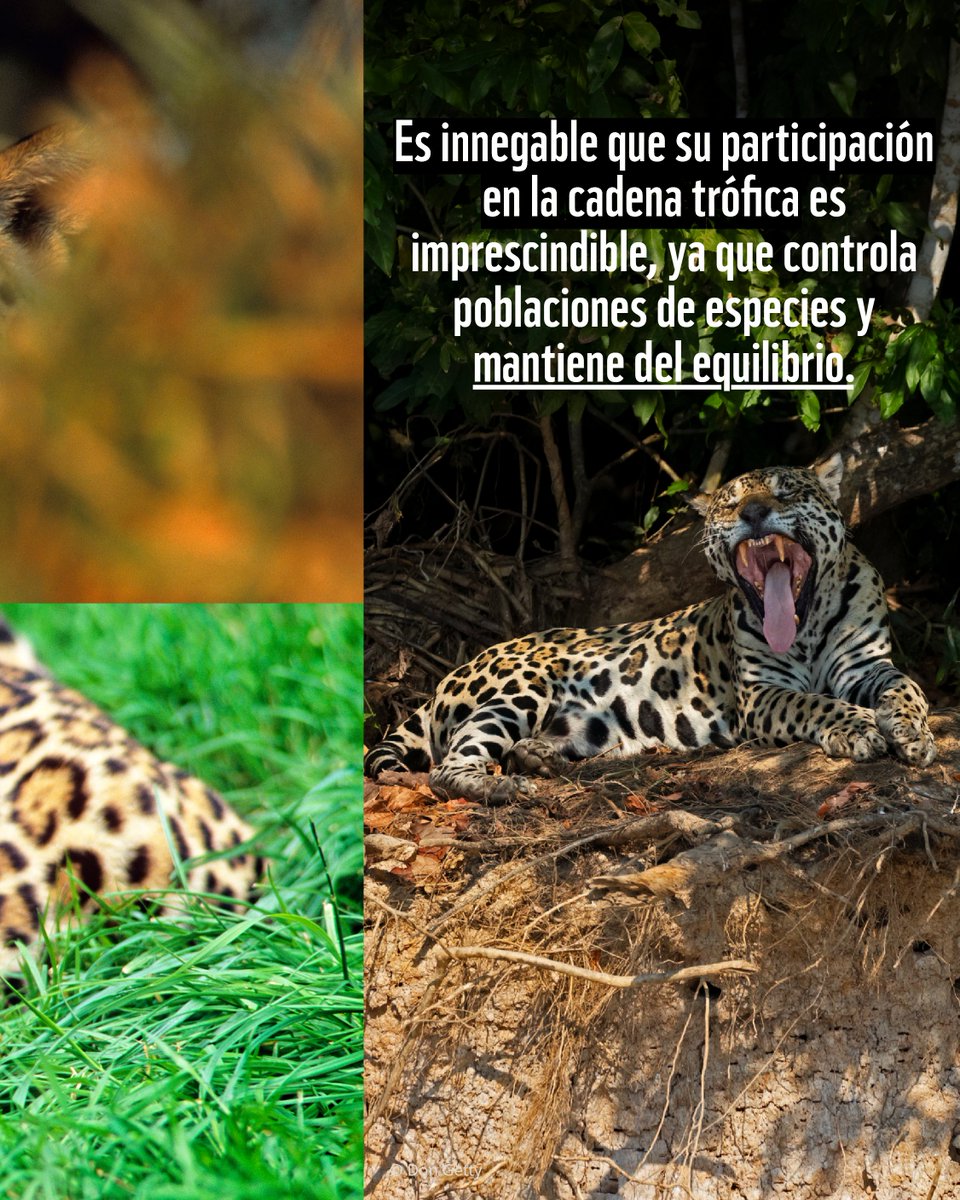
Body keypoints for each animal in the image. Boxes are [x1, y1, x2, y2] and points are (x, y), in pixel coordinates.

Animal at [365, 455, 936, 803]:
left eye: (788, 491)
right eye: (731, 503)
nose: (753, 512)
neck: (808, 621)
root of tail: (454, 671)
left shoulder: (868, 665)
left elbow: (906, 687)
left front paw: (911, 731)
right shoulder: (760, 692)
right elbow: (813, 703)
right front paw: (859, 727)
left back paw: (537, 758)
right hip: (524, 684)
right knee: (449, 763)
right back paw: (502, 787)